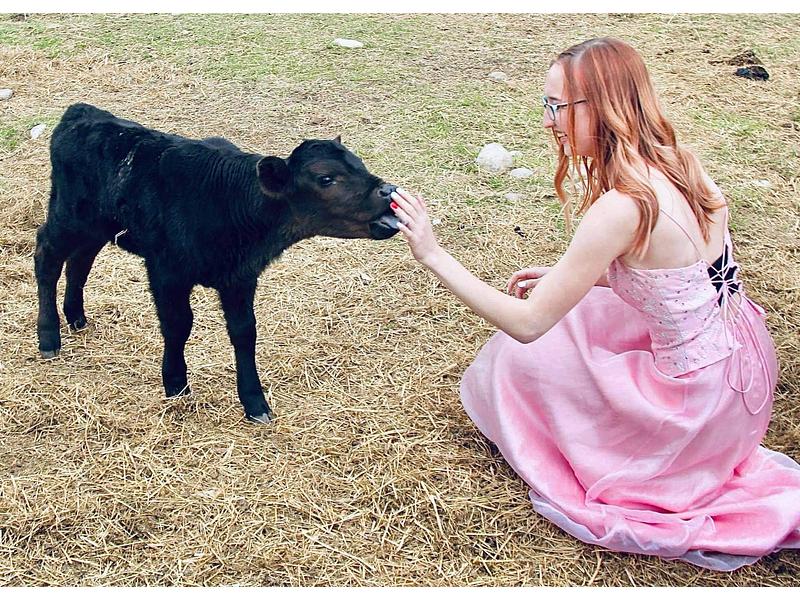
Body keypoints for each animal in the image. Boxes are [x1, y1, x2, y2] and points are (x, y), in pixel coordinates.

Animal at [34, 103, 400, 424]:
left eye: (359, 163)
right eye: (326, 178)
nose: (389, 189)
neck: (227, 201)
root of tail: (82, 113)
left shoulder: (240, 277)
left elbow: (245, 331)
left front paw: (254, 402)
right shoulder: (166, 270)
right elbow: (178, 325)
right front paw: (176, 383)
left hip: (97, 226)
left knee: (80, 261)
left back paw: (76, 316)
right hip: (68, 215)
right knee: (46, 257)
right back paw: (49, 336)